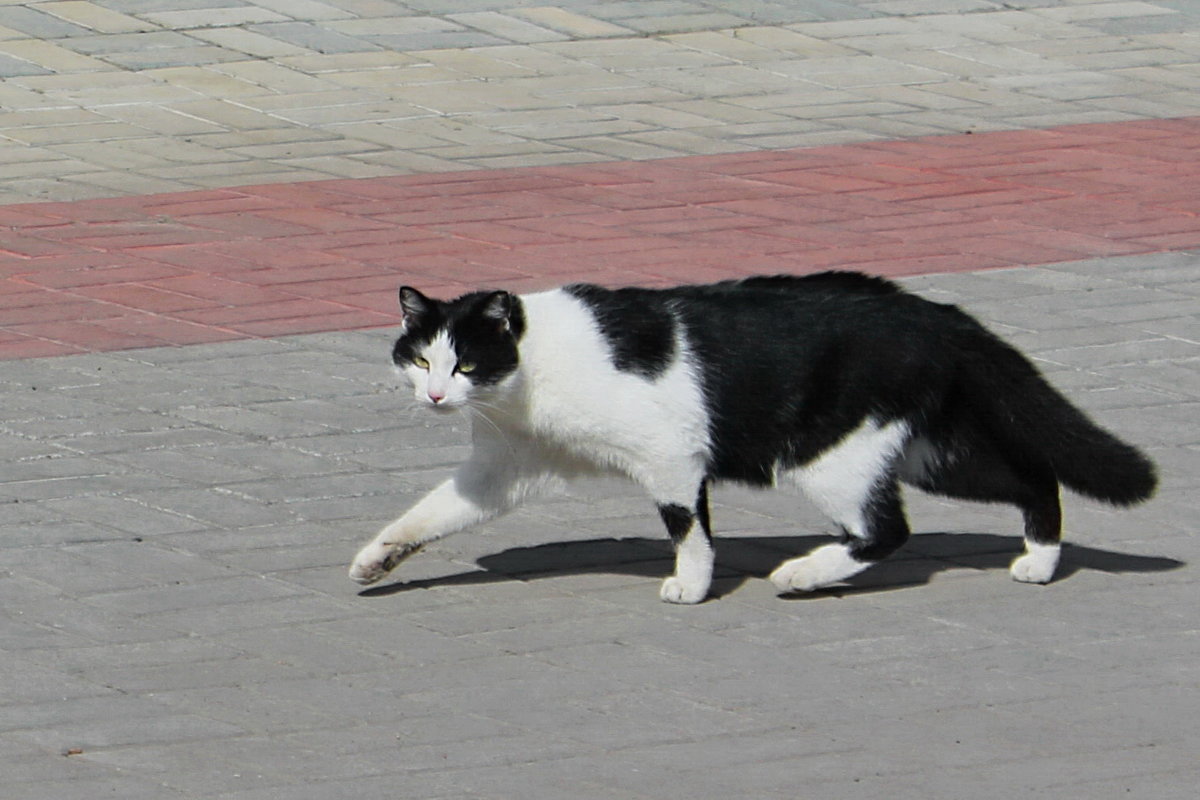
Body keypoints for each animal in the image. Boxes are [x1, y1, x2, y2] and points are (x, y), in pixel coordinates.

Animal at [348, 272, 1152, 604]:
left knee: (887, 530)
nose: (435, 395)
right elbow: (428, 514)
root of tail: (934, 313)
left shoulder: (671, 455)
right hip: (935, 453)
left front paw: (694, 585)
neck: (531, 378)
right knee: (1034, 479)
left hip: (827, 455)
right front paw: (375, 559)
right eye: (420, 359)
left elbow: (689, 528)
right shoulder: (503, 470)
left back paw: (803, 574)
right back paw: (1040, 562)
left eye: (466, 362)